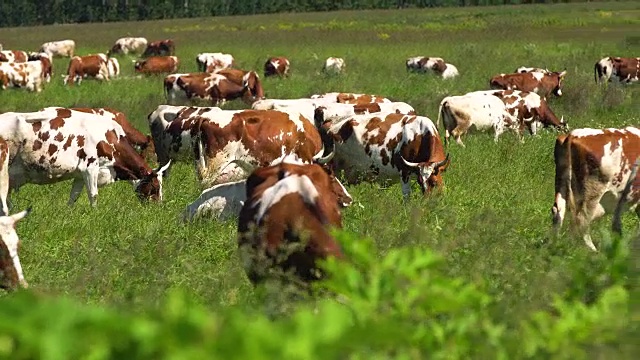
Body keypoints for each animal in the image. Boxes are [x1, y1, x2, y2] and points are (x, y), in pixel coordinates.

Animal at [0, 109, 171, 211]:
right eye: (155, 187)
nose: (158, 208)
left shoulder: (79, 174)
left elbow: (73, 197)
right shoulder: (90, 168)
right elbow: (93, 194)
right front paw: (95, 213)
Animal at [316, 111, 448, 198]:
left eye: (434, 183)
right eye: (421, 182)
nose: (427, 202)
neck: (420, 135)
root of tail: (329, 120)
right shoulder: (404, 171)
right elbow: (407, 196)